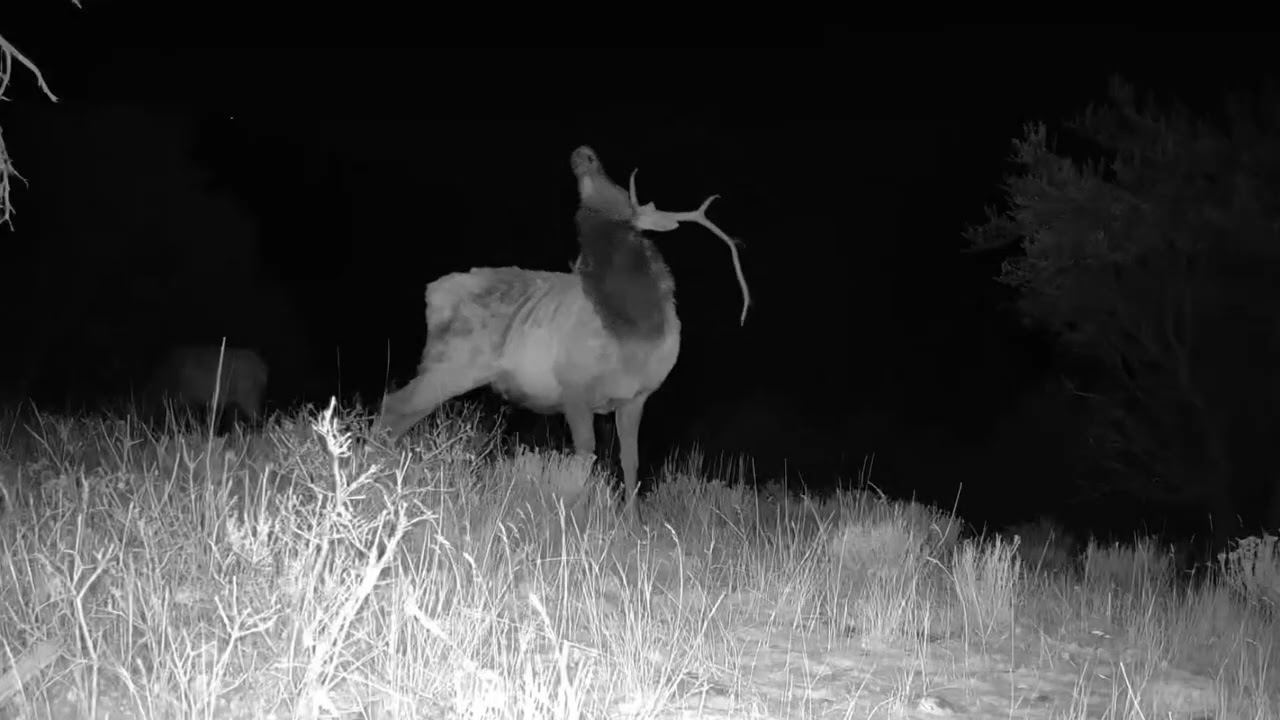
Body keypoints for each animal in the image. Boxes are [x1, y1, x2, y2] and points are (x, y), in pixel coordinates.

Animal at [376, 145, 749, 518]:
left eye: (613, 186)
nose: (584, 154)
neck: (634, 333)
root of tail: (432, 293)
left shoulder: (636, 397)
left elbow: (630, 462)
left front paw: (632, 520)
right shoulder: (574, 390)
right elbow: (585, 457)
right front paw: (573, 513)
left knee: (403, 411)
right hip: (452, 363)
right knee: (394, 404)